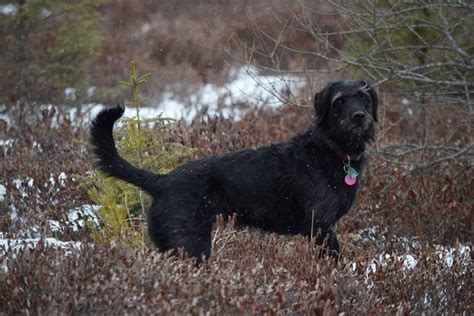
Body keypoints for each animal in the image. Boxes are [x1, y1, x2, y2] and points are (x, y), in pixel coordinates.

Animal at [90, 79, 378, 262]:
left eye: (364, 98)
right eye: (339, 101)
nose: (359, 117)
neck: (332, 150)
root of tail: (162, 181)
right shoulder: (321, 227)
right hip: (191, 245)